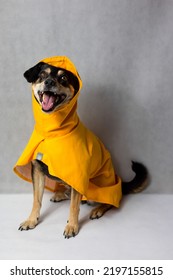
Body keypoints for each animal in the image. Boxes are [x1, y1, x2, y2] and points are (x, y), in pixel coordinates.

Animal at [14, 56, 148, 238]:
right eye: (42, 75)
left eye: (63, 78)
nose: (49, 82)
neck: (53, 133)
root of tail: (119, 182)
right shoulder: (37, 169)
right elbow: (36, 200)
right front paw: (31, 220)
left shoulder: (78, 174)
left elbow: (73, 206)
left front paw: (72, 226)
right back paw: (61, 194)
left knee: (111, 201)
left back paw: (98, 209)